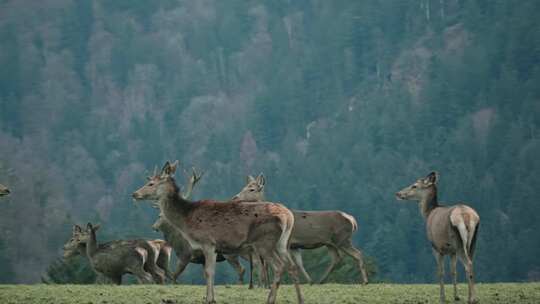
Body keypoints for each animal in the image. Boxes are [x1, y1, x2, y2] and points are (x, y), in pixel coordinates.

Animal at [132, 160, 304, 302]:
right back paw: (299, 299)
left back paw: (270, 300)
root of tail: (288, 216)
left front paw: (209, 299)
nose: (134, 194)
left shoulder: (207, 242)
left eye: (151, 183)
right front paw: (211, 298)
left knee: (278, 266)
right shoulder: (214, 248)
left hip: (264, 242)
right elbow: (210, 271)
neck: (187, 219)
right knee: (291, 266)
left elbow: (208, 272)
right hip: (282, 243)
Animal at [230, 175, 370, 284]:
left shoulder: (287, 242)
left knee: (358, 254)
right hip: (330, 243)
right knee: (337, 258)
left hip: (342, 239)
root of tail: (352, 220)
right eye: (244, 187)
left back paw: (364, 281)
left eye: (251, 189)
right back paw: (320, 280)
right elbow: (298, 263)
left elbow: (283, 263)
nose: (235, 198)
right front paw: (309, 281)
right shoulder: (294, 245)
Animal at [394, 171, 478, 304]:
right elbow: (453, 271)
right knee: (471, 263)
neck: (428, 213)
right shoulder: (452, 251)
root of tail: (466, 217)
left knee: (468, 264)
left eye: (414, 185)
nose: (398, 193)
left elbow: (440, 272)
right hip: (473, 241)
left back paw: (471, 299)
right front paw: (456, 296)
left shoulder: (436, 247)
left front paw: (442, 297)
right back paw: (473, 297)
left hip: (458, 242)